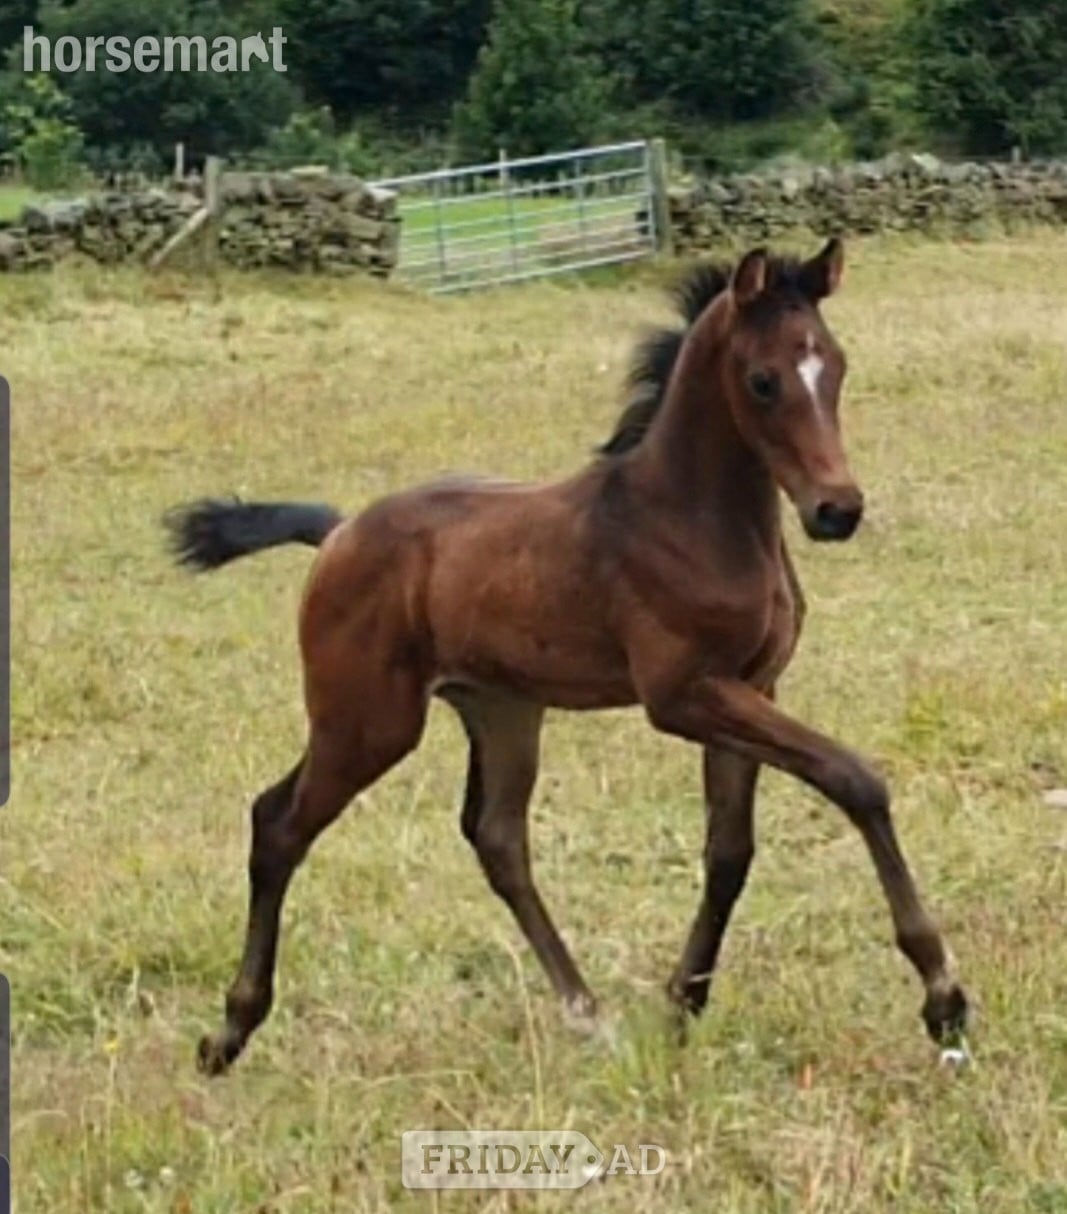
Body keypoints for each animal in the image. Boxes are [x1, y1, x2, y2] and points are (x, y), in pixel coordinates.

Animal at [164, 239, 969, 1077]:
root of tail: (338, 533)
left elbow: (729, 850)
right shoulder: (683, 695)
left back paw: (588, 1015)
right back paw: (229, 1033)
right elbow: (854, 780)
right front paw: (942, 996)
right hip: (366, 720)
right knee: (278, 822)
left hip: (502, 708)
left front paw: (680, 1004)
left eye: (835, 364)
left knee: (496, 837)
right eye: (763, 379)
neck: (689, 516)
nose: (836, 510)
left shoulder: (753, 686)